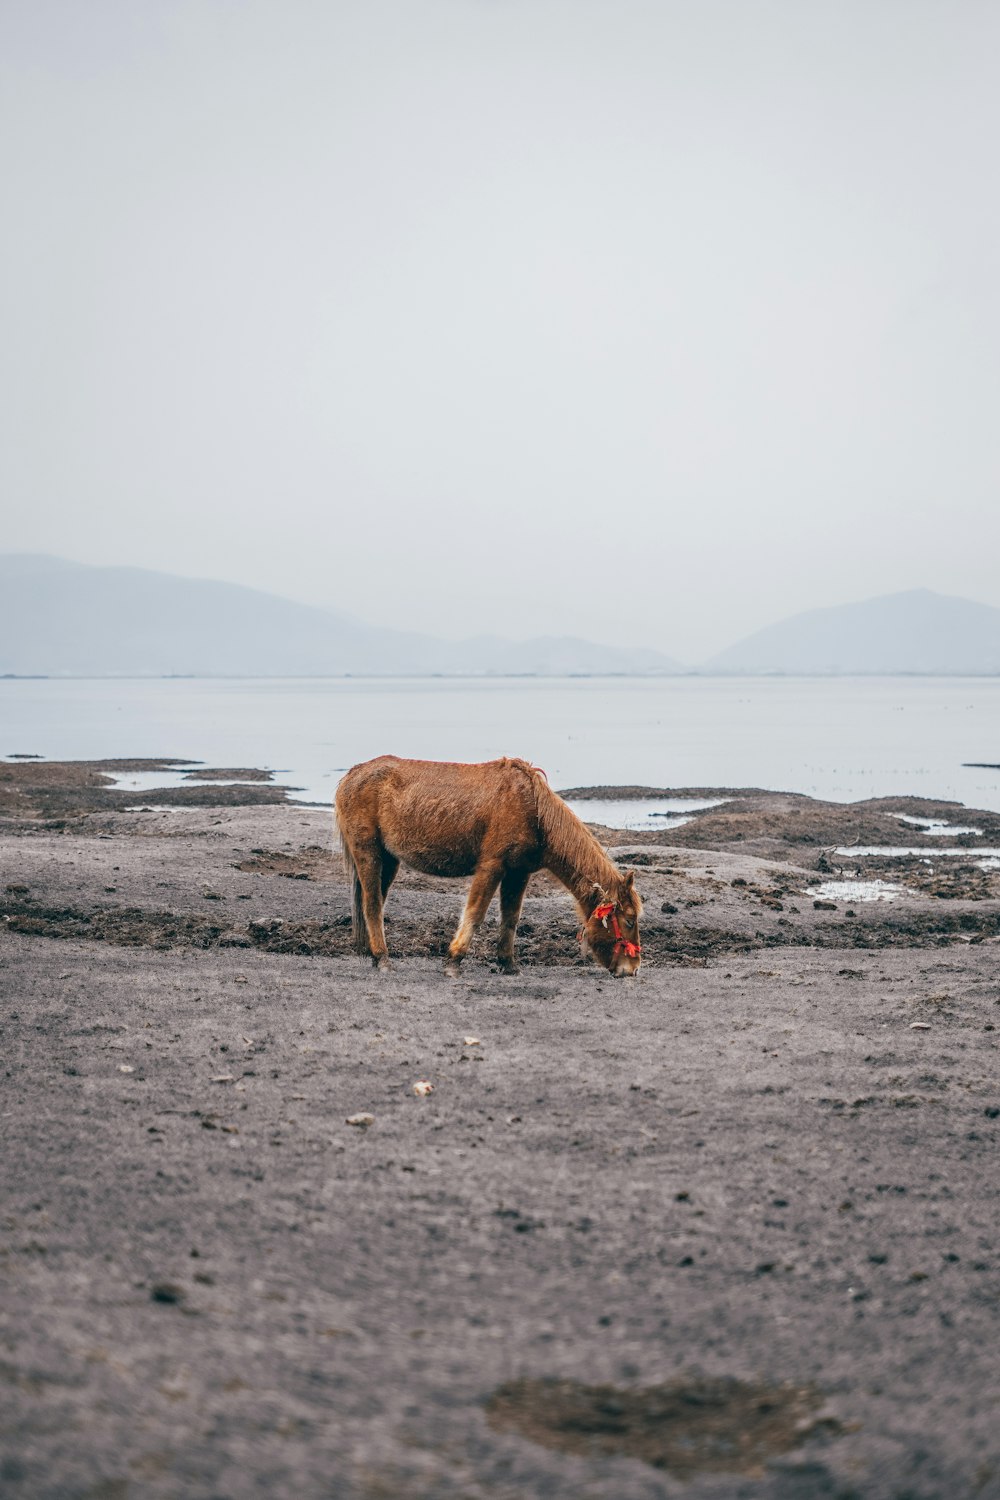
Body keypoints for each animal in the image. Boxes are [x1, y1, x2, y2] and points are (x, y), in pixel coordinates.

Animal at [335, 756, 644, 978]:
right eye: (629, 920)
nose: (632, 969)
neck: (534, 811)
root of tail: (350, 776)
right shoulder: (492, 866)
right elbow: (475, 913)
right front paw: (453, 961)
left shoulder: (518, 873)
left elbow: (511, 918)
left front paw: (508, 963)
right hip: (369, 854)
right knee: (373, 904)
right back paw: (383, 959)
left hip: (389, 860)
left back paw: (373, 955)